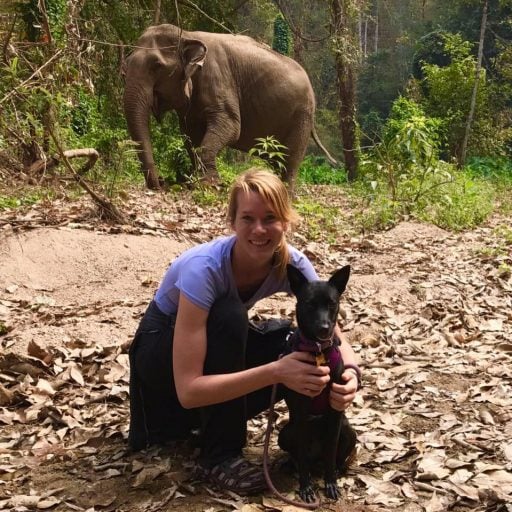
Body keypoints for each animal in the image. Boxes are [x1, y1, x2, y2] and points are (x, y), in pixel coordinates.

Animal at [123, 24, 336, 190]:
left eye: (157, 66)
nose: (161, 182)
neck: (188, 34)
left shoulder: (219, 79)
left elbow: (231, 127)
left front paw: (210, 184)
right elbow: (190, 136)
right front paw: (194, 182)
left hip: (302, 116)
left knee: (289, 161)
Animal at [280, 264, 352, 504]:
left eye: (332, 303)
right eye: (309, 303)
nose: (324, 328)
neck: (318, 352)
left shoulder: (336, 412)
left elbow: (331, 453)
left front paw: (331, 484)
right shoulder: (301, 414)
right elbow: (302, 457)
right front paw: (306, 487)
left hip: (348, 430)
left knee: (333, 458)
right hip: (285, 434)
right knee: (300, 458)